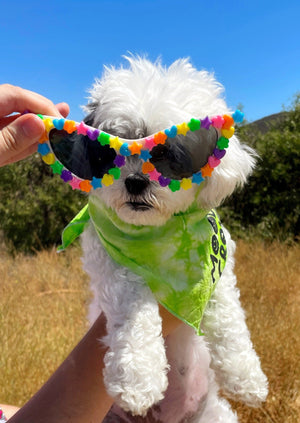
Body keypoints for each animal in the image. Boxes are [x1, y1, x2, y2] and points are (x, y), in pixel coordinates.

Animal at [79, 57, 268, 423]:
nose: (136, 181)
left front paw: (246, 377)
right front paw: (139, 378)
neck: (159, 234)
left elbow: (230, 320)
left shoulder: (218, 268)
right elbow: (134, 310)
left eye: (169, 154)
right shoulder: (110, 261)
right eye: (110, 152)